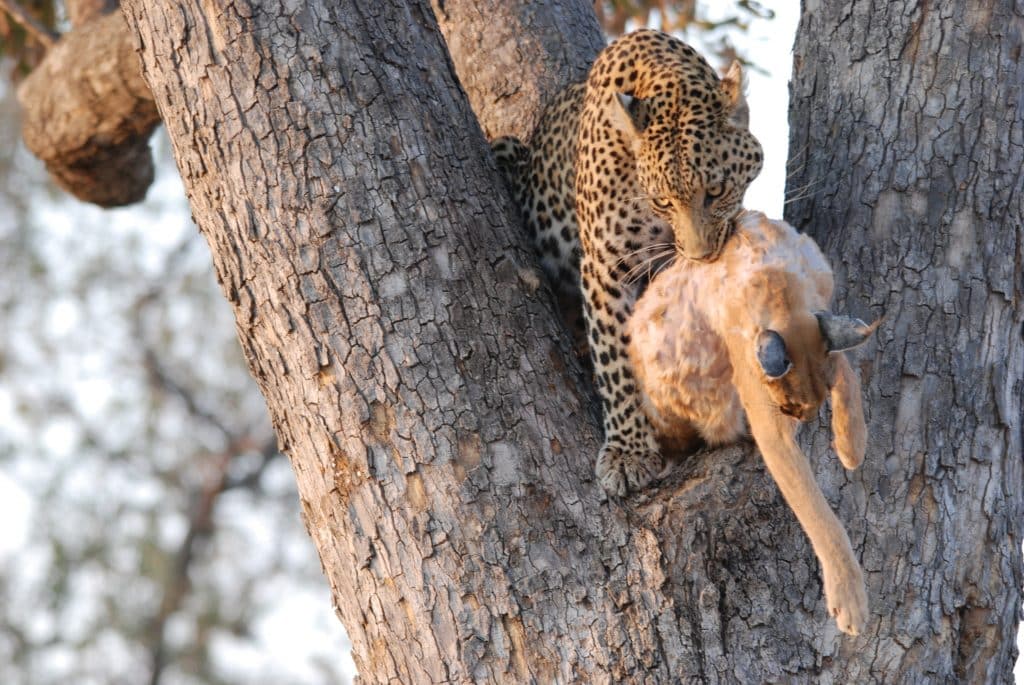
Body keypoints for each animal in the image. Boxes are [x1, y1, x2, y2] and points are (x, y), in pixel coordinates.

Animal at [491, 29, 765, 493]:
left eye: (716, 191)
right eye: (663, 200)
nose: (700, 254)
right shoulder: (606, 267)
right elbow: (617, 362)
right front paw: (628, 453)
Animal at [630, 209, 880, 634]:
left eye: (811, 405)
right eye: (790, 408)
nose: (805, 418)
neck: (782, 287)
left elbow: (845, 365)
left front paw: (852, 444)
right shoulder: (767, 417)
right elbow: (815, 510)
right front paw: (850, 602)